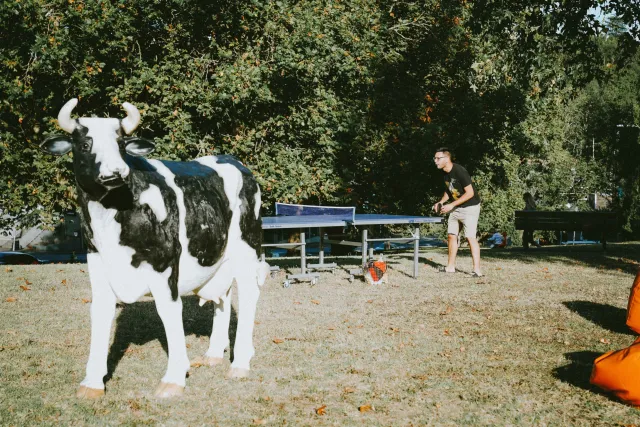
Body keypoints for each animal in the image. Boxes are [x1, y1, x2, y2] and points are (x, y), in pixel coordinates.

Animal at [40, 98, 270, 400]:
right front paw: (92, 382)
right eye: (85, 144)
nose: (116, 172)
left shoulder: (166, 265)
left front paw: (174, 378)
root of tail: (235, 162)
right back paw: (213, 355)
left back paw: (240, 363)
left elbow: (168, 312)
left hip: (248, 249)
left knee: (250, 294)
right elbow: (100, 313)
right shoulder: (97, 262)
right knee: (223, 297)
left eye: (121, 144)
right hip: (219, 257)